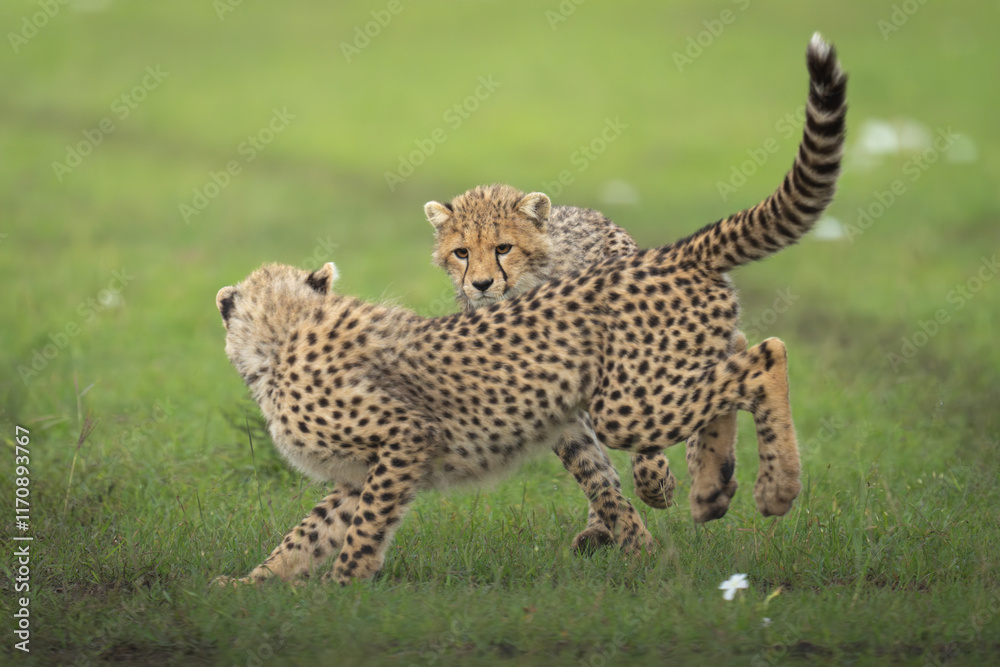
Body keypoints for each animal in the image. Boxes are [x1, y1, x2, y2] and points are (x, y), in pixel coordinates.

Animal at [212, 33, 846, 587]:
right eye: (461, 252)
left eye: (503, 248)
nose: (483, 284)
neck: (286, 329)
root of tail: (671, 252)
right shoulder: (377, 465)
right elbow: (309, 532)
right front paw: (249, 585)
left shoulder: (405, 439)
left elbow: (360, 529)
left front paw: (344, 586)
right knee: (732, 361)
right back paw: (708, 489)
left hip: (627, 400)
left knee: (764, 355)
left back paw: (770, 488)